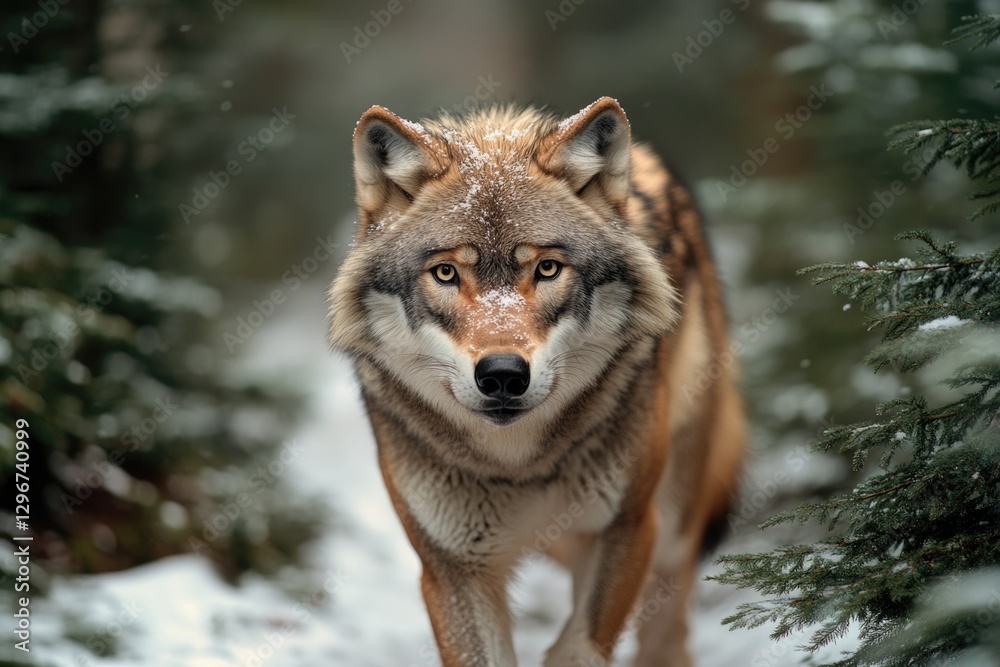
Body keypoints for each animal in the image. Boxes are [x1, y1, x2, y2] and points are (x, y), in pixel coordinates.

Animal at [327, 97, 746, 666]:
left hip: (674, 523)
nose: (503, 374)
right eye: (445, 273)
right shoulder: (451, 568)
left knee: (669, 628)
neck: (518, 465)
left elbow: (577, 649)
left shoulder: (628, 527)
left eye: (547, 268)